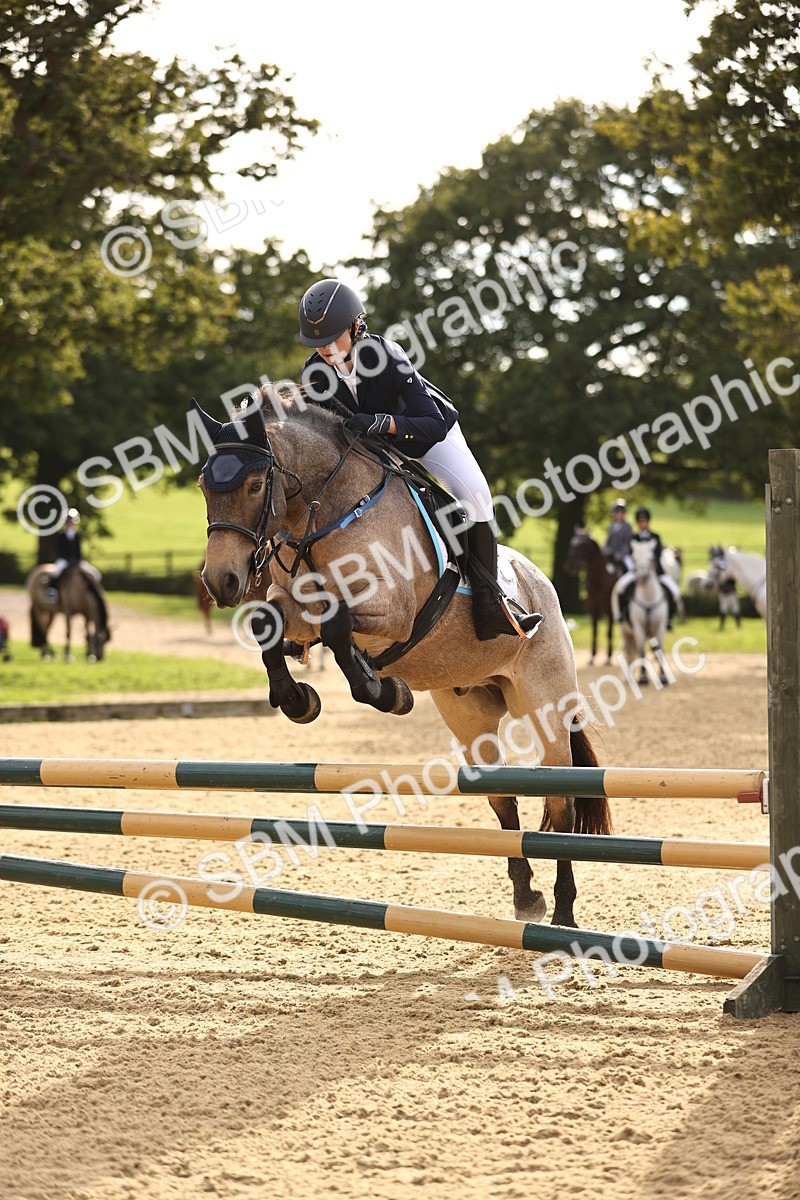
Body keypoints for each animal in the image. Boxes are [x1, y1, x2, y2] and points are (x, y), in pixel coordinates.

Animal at [195, 392, 612, 929]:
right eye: (205, 485)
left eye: (253, 484)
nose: (220, 581)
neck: (328, 511)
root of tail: (542, 584)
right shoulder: (296, 610)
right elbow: (270, 625)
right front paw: (297, 699)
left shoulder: (393, 613)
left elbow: (339, 627)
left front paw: (384, 691)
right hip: (470, 715)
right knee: (501, 798)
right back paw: (526, 898)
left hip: (546, 708)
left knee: (561, 803)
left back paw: (562, 911)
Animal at [563, 529, 622, 666]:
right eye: (572, 543)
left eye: (583, 544)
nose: (569, 565)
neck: (599, 578)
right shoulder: (592, 607)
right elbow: (594, 631)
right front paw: (593, 656)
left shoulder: (609, 609)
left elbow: (609, 632)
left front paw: (608, 657)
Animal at [618, 540, 670, 686]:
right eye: (634, 558)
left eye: (650, 558)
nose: (641, 578)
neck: (648, 598)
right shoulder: (638, 628)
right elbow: (641, 652)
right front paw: (643, 678)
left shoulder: (660, 627)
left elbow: (659, 650)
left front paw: (663, 678)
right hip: (625, 631)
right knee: (629, 650)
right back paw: (630, 676)